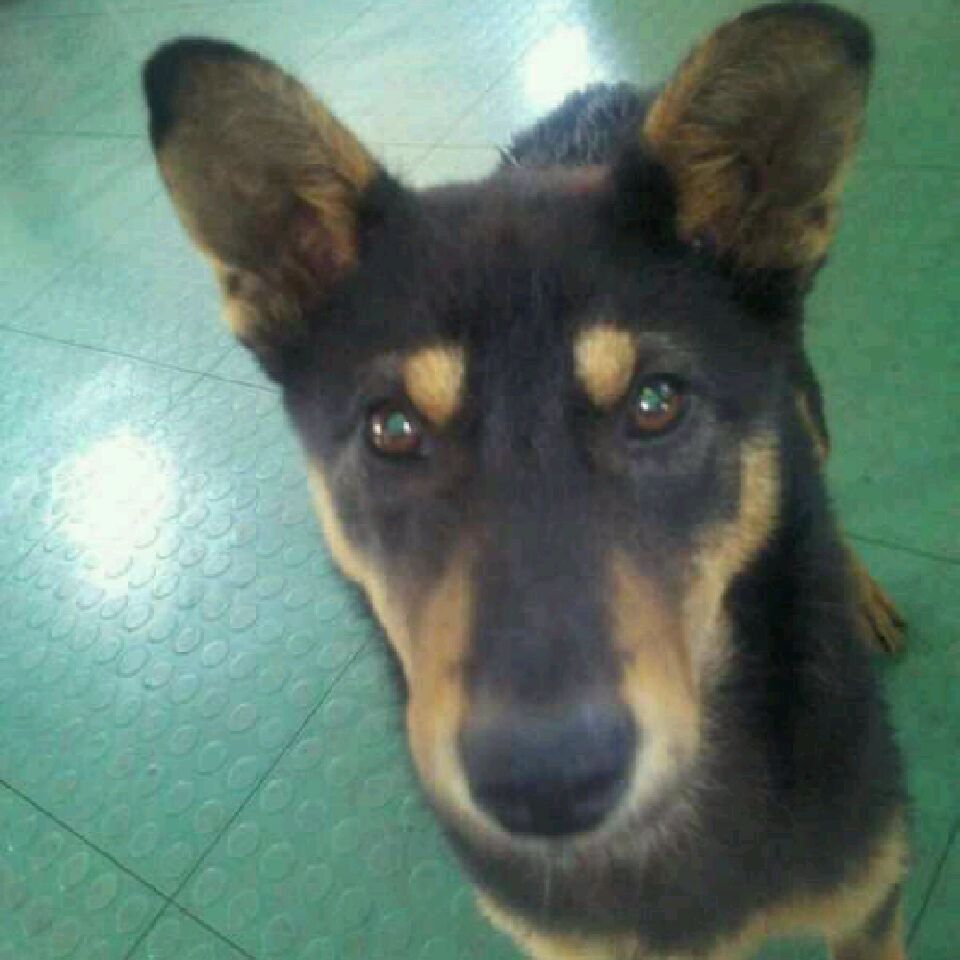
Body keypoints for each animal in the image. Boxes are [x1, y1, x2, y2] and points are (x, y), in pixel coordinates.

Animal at [143, 4, 908, 957]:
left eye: (655, 403)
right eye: (392, 428)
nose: (548, 784)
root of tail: (594, 94)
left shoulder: (869, 905)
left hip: (803, 395)